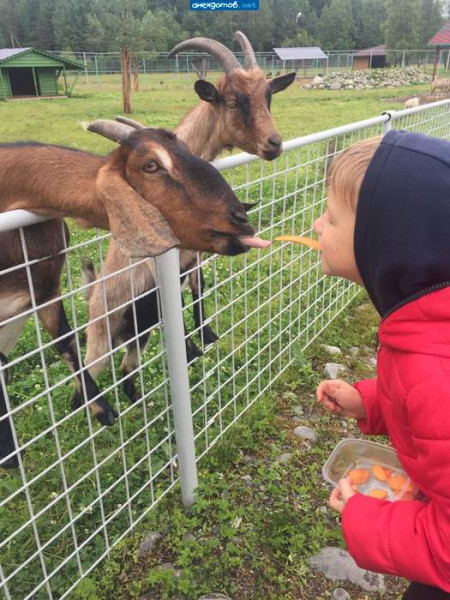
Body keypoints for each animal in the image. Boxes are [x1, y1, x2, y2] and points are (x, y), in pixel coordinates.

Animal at [0, 124, 264, 466]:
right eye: (150, 165)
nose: (241, 219)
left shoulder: (43, 290)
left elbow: (64, 340)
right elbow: (66, 344)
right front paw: (102, 409)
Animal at [79, 30, 296, 400]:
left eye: (268, 96)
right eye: (232, 101)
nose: (273, 143)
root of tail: (93, 296)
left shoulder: (195, 256)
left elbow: (199, 287)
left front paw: (206, 336)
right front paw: (193, 347)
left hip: (137, 335)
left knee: (126, 369)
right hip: (101, 338)